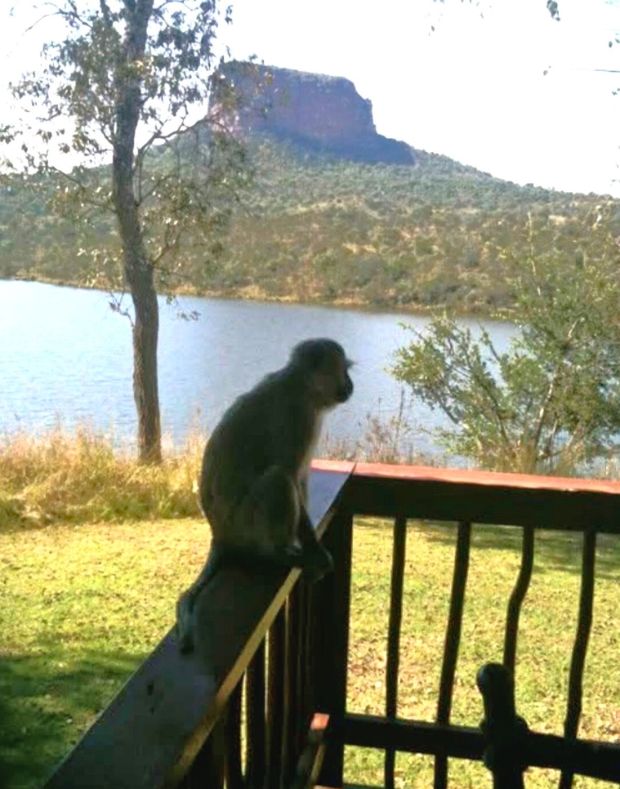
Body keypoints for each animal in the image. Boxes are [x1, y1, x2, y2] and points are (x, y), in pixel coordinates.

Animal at [176, 338, 354, 654]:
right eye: (342, 371)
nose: (351, 384)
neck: (302, 385)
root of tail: (219, 534)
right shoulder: (298, 417)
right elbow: (291, 477)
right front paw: (315, 551)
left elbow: (302, 479)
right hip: (244, 527)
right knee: (277, 480)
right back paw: (277, 555)